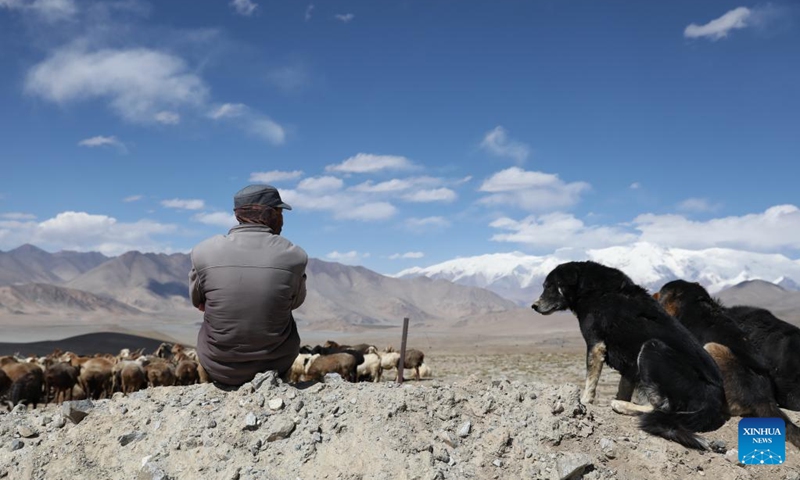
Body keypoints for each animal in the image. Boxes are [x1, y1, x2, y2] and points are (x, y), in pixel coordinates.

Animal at [536, 260, 728, 448]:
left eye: (551, 286)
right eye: (545, 286)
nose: (534, 306)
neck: (587, 287)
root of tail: (716, 398)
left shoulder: (595, 344)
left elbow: (590, 381)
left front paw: (584, 401)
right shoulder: (629, 365)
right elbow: (623, 386)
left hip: (651, 348)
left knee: (663, 407)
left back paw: (621, 405)